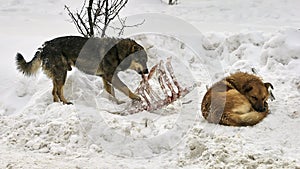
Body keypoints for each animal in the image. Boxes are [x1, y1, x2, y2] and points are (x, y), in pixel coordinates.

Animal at [15, 36, 149, 103]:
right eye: (142, 60)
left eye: (146, 60)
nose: (147, 71)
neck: (118, 52)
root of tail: (44, 47)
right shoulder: (111, 76)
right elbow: (124, 87)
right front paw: (135, 97)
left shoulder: (106, 78)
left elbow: (111, 92)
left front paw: (116, 102)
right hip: (62, 73)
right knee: (58, 91)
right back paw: (66, 103)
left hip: (58, 75)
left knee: (54, 92)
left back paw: (58, 104)